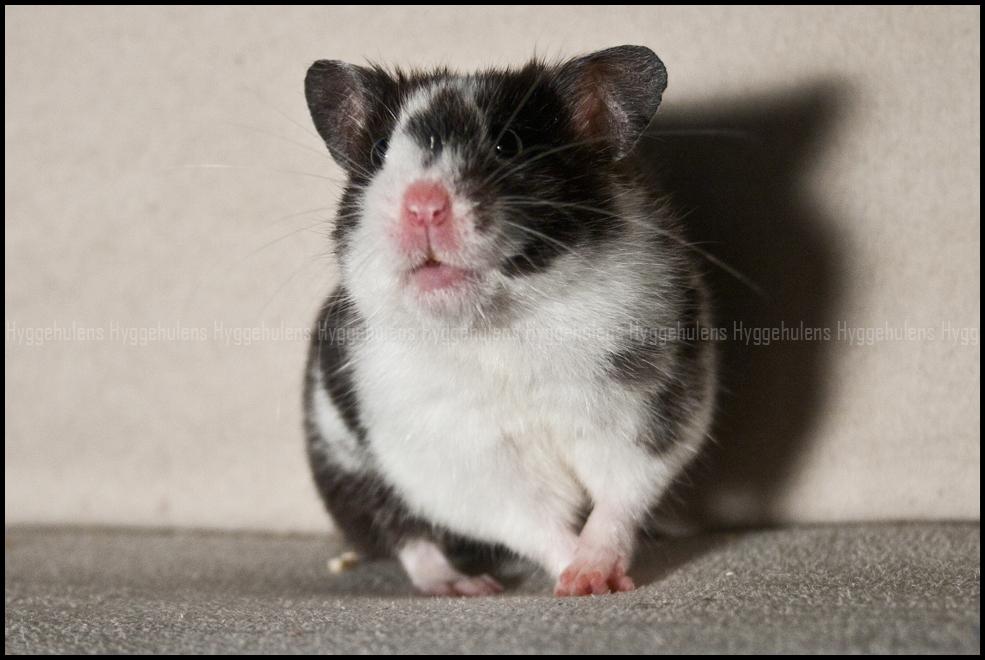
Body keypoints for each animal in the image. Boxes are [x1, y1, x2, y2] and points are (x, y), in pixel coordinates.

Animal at [302, 45, 716, 597]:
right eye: (379, 152)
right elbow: (531, 521)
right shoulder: (464, 459)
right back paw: (465, 586)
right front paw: (574, 578)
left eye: (508, 144)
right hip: (348, 475)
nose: (423, 205)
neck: (498, 325)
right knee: (407, 536)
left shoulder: (647, 413)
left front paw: (595, 579)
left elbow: (618, 498)